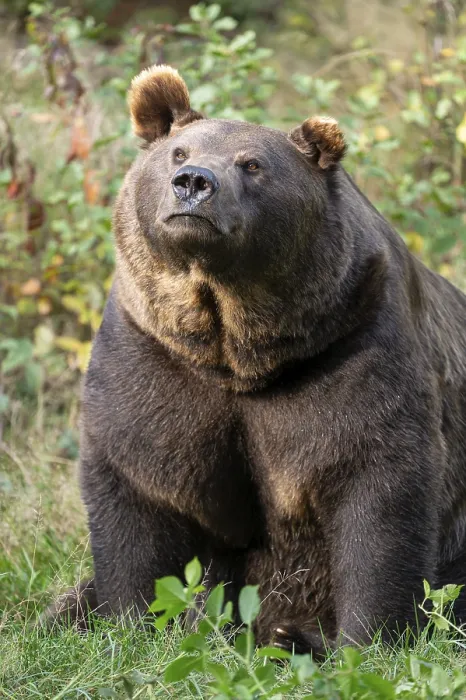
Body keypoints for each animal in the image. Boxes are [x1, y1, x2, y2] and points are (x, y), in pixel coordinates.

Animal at [47, 64, 466, 656]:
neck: (235, 347)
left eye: (252, 164)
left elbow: (378, 489)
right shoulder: (153, 354)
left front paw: (370, 638)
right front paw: (129, 623)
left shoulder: (354, 346)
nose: (194, 183)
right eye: (179, 151)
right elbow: (138, 484)